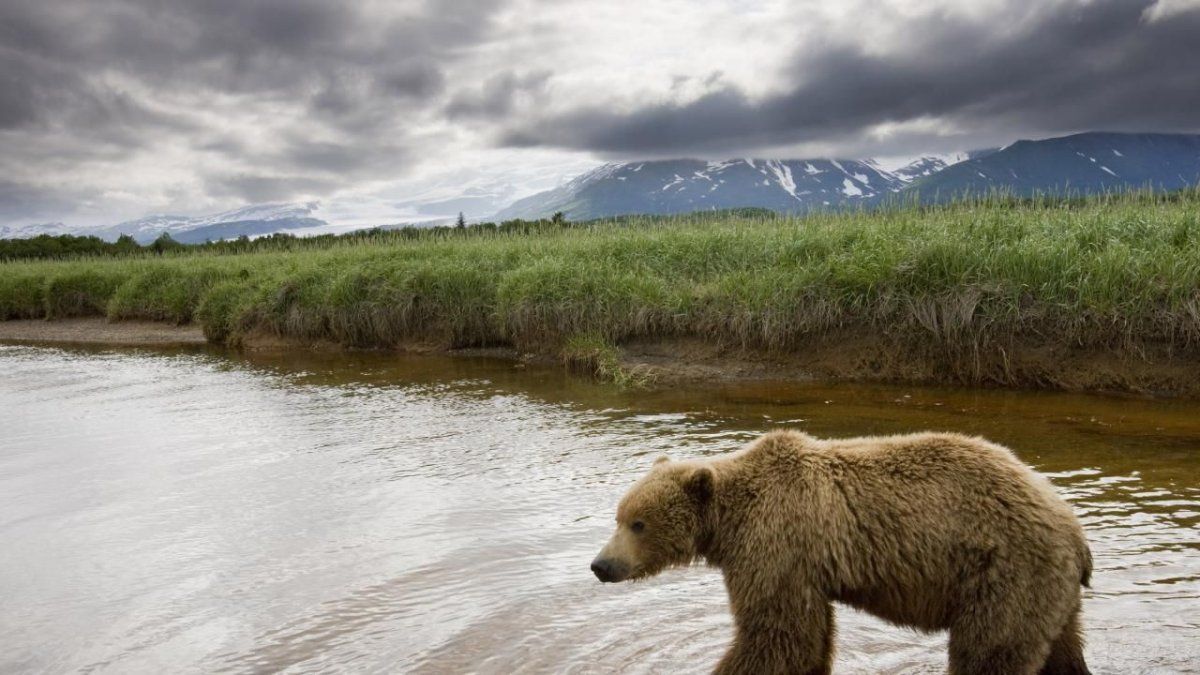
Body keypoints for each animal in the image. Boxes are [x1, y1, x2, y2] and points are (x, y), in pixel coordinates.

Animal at [590, 430, 1092, 675]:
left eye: (638, 523)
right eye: (619, 516)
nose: (600, 565)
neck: (730, 519)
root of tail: (1073, 528)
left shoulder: (777, 545)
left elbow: (778, 634)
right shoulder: (802, 566)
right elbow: (807, 641)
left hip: (1004, 570)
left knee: (988, 653)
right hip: (1047, 589)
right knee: (1060, 651)